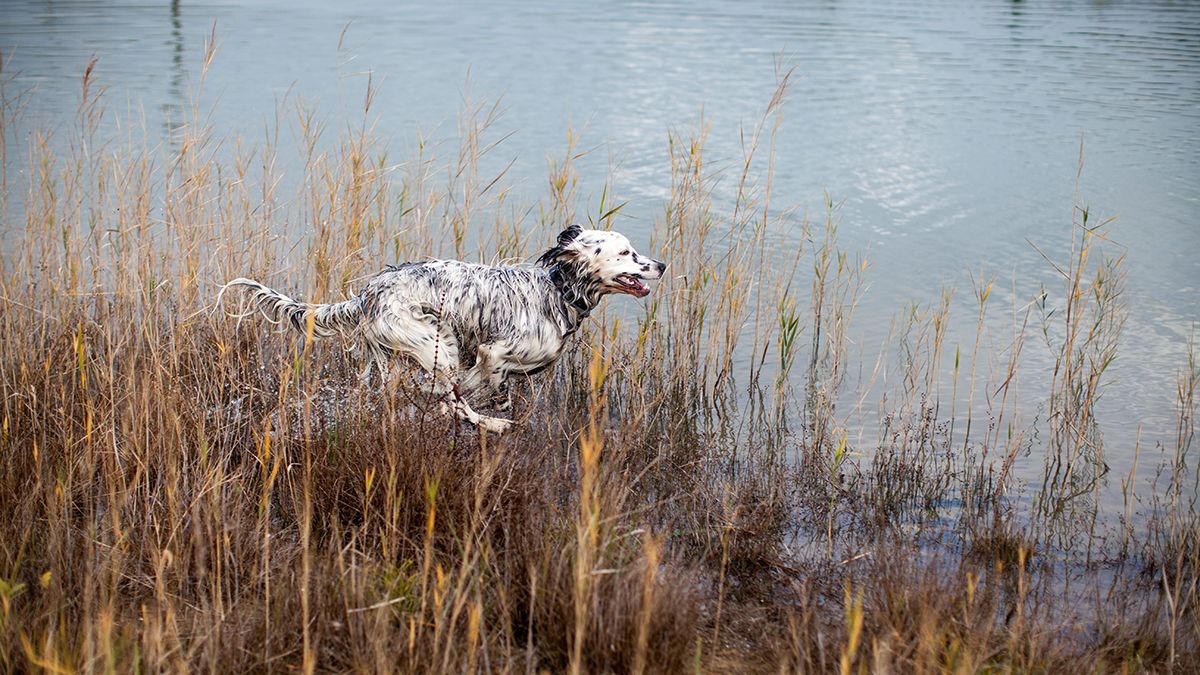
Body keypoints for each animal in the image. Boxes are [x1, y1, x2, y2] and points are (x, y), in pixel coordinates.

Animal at [223, 222, 667, 429]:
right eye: (626, 253)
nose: (661, 265)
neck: (557, 291)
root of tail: (367, 294)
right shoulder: (493, 354)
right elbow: (485, 394)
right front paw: (497, 414)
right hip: (437, 342)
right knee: (456, 404)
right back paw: (493, 426)